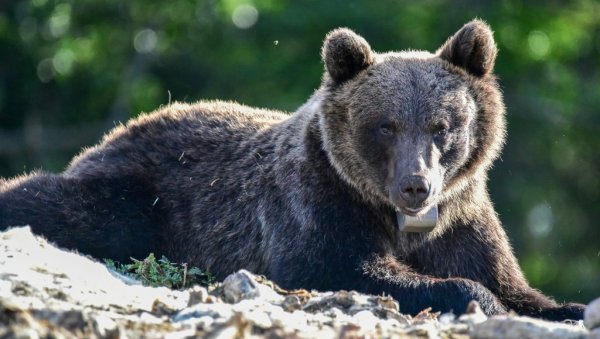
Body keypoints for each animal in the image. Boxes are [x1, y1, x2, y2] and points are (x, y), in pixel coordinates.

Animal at [0, 19, 584, 320]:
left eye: (442, 126)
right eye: (385, 125)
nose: (415, 187)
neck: (403, 223)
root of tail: (114, 133)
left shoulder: (462, 218)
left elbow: (513, 284)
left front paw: (566, 306)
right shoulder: (316, 202)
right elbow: (339, 265)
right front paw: (473, 297)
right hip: (143, 193)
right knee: (70, 205)